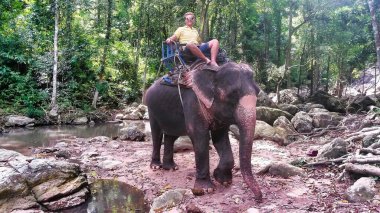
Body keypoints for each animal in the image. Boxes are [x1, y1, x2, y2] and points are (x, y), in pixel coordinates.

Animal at [144, 61, 262, 201]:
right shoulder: (192, 103)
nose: (258, 198)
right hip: (151, 108)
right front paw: (206, 189)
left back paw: (171, 168)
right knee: (157, 134)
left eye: (258, 92)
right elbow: (199, 136)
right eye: (231, 95)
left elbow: (219, 138)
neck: (215, 71)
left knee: (170, 136)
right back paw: (156, 166)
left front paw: (222, 179)